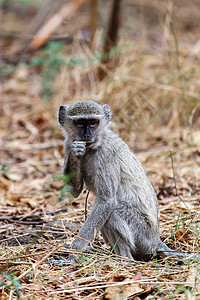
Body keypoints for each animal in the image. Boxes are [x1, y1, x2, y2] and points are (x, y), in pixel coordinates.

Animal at [57, 99, 198, 262]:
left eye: (93, 122)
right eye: (80, 123)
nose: (87, 135)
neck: (96, 144)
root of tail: (156, 241)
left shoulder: (106, 156)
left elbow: (107, 201)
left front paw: (73, 254)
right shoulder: (68, 143)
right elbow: (75, 191)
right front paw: (76, 151)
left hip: (143, 236)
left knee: (113, 210)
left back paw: (124, 259)